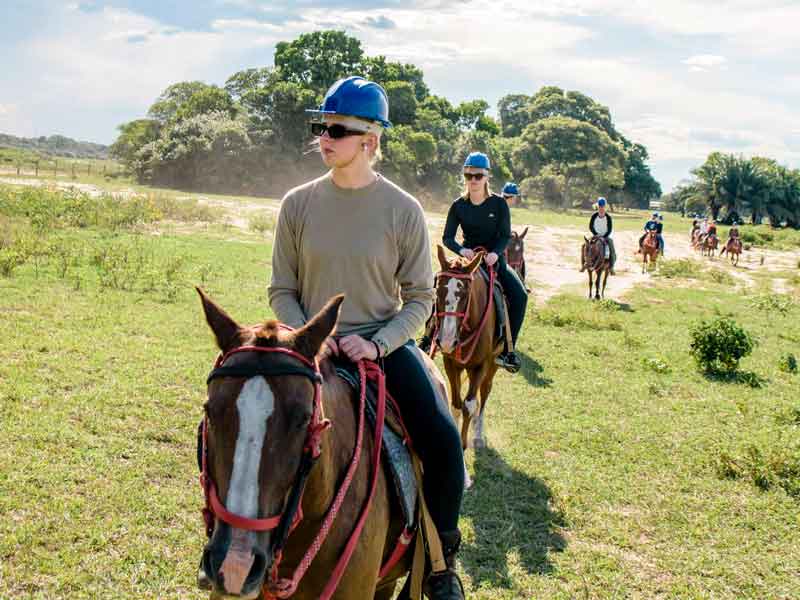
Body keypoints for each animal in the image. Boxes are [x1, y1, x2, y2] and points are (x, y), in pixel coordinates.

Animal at [432, 244, 500, 460]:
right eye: (437, 290)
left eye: (465, 294)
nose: (446, 341)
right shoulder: (451, 364)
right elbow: (456, 403)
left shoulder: (481, 366)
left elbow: (468, 405)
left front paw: (463, 445)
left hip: (492, 365)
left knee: (484, 392)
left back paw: (477, 435)